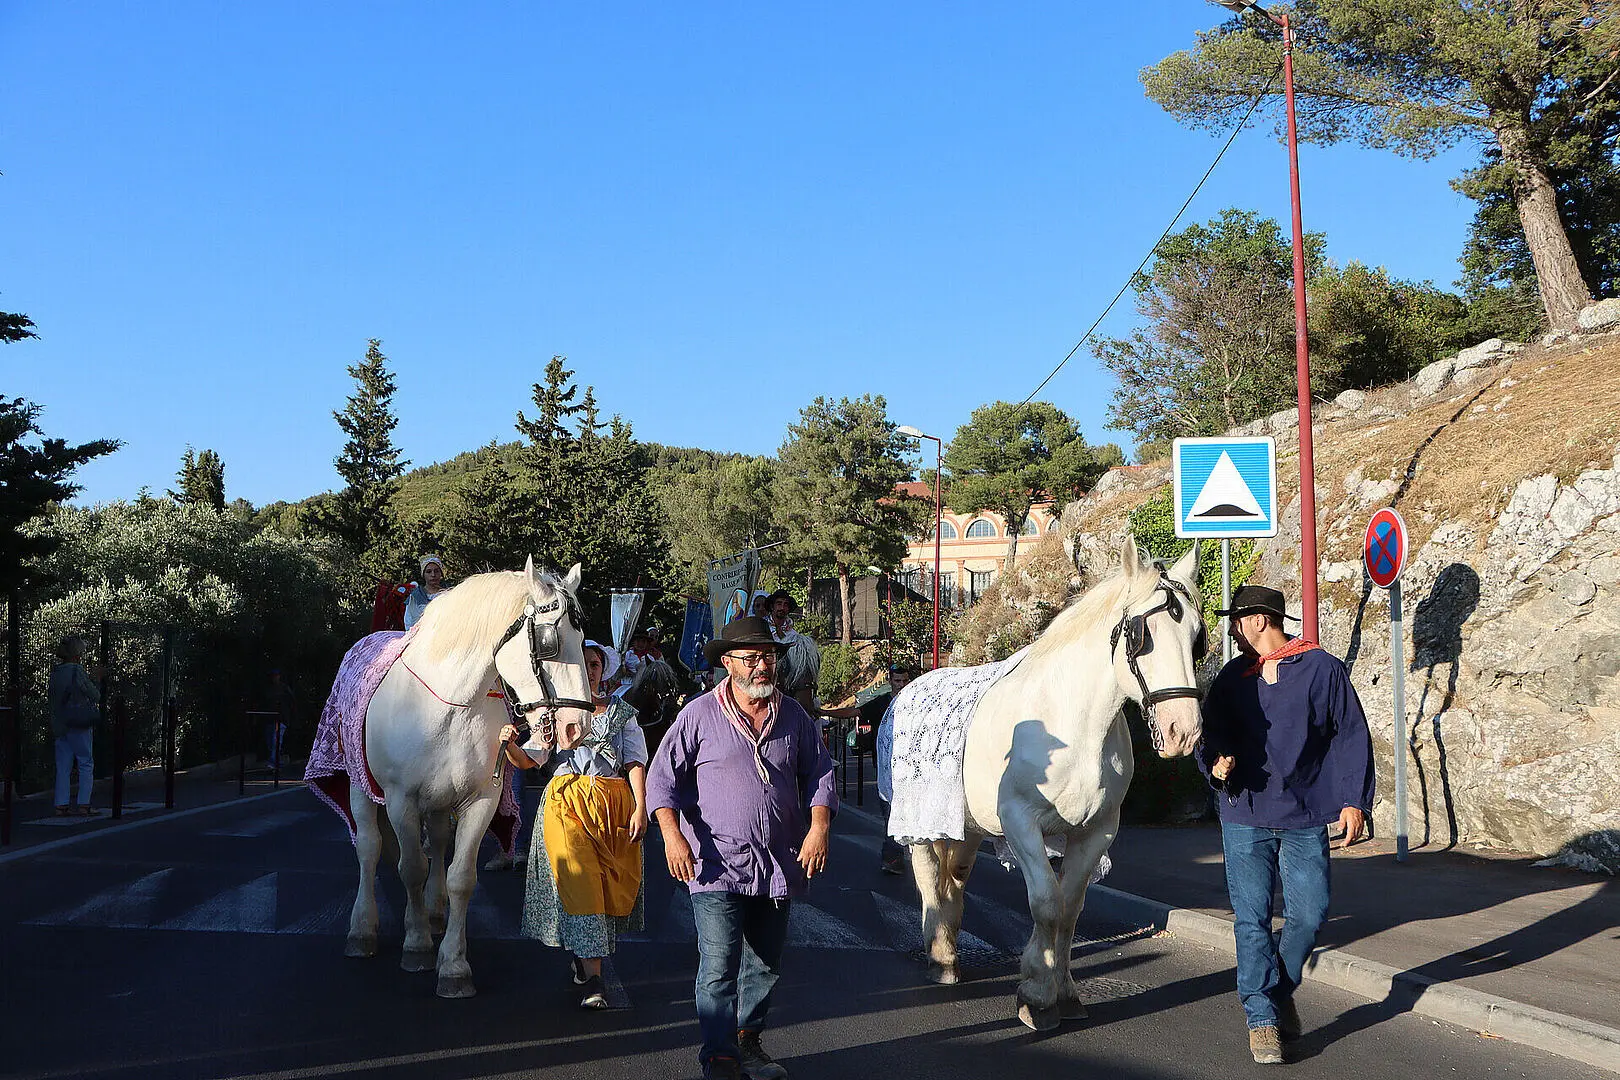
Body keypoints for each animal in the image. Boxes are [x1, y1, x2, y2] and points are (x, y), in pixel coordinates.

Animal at [343, 559, 594, 998]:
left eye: (582, 639)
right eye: (550, 641)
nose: (574, 727)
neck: (451, 704)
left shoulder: (481, 799)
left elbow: (460, 876)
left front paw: (454, 964)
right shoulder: (400, 799)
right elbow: (410, 866)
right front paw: (417, 946)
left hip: (440, 802)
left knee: (439, 844)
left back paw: (434, 912)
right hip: (361, 787)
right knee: (370, 848)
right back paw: (364, 928)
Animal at [903, 538, 1207, 1030]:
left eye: (1197, 636)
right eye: (1140, 636)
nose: (1184, 730)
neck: (1073, 725)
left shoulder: (1097, 831)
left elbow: (1070, 908)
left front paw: (1064, 993)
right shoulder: (1020, 824)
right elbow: (1046, 903)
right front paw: (1036, 996)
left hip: (966, 827)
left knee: (956, 878)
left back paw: (948, 944)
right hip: (922, 824)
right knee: (930, 876)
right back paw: (941, 957)